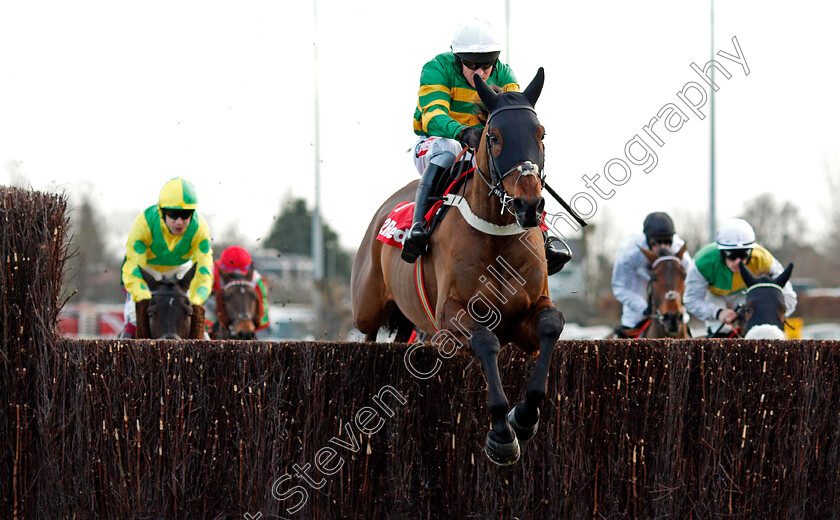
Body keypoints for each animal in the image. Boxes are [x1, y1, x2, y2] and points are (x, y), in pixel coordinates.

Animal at [350, 70, 564, 468]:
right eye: (493, 137)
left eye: (540, 134)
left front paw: (525, 417)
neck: (497, 234)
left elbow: (551, 325)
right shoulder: (450, 319)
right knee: (366, 331)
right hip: (367, 306)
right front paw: (501, 435)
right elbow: (485, 340)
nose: (529, 205)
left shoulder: (528, 316)